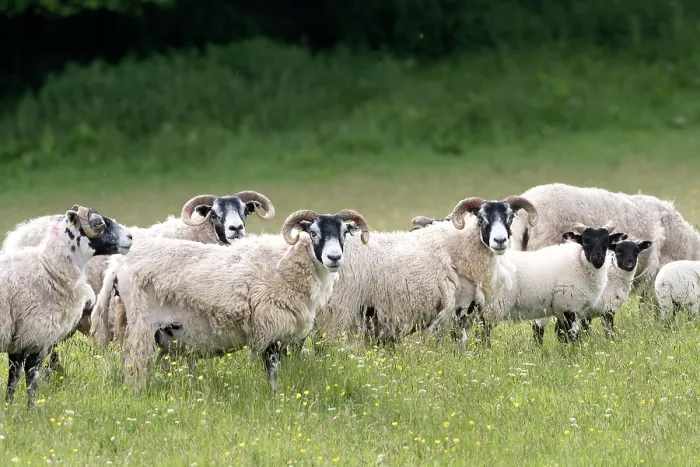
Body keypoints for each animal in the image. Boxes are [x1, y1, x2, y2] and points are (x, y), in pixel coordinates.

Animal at [0, 205, 131, 407]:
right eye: (97, 222)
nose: (131, 237)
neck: (49, 267)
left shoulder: (19, 339)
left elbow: (13, 379)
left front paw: (9, 406)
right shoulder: (35, 335)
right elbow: (31, 379)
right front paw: (32, 409)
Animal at [108, 209, 370, 390]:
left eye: (344, 233)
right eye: (313, 233)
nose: (334, 258)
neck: (285, 263)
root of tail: (119, 265)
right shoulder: (269, 329)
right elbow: (273, 372)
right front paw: (275, 398)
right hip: (141, 326)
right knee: (135, 367)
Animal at [310, 196, 538, 347]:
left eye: (510, 217)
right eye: (481, 218)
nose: (500, 241)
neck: (461, 246)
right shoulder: (458, 306)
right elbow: (458, 340)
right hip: (339, 308)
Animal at [474, 223, 626, 345]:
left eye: (606, 241)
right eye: (585, 241)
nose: (598, 259)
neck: (580, 262)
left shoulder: (561, 308)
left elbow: (563, 334)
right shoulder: (568, 304)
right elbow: (573, 335)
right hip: (494, 306)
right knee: (482, 333)